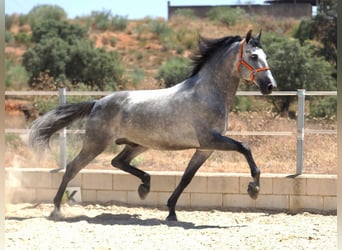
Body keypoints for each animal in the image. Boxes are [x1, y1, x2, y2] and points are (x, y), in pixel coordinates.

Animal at [28, 29, 276, 221]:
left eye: (266, 56)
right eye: (254, 56)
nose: (270, 86)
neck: (208, 93)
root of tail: (97, 102)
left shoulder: (205, 148)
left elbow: (187, 178)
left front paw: (171, 212)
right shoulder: (211, 139)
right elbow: (245, 147)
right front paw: (254, 189)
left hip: (138, 144)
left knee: (118, 161)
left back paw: (144, 186)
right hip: (95, 144)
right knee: (72, 167)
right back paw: (56, 209)